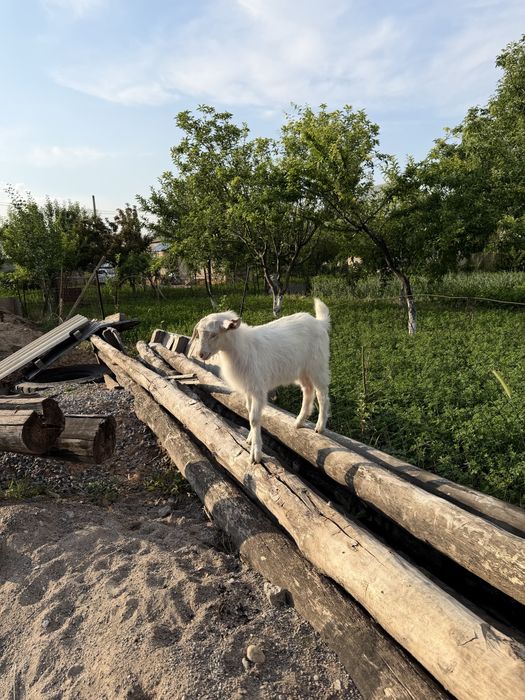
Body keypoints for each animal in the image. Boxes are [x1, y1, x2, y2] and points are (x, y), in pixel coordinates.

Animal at [189, 298, 330, 463]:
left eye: (213, 334)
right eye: (198, 334)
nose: (201, 354)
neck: (240, 348)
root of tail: (319, 323)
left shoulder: (257, 388)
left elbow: (254, 419)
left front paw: (256, 454)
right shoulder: (248, 389)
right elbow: (249, 412)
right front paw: (250, 439)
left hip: (317, 366)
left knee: (322, 394)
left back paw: (320, 426)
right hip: (302, 370)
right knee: (308, 390)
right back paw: (299, 422)